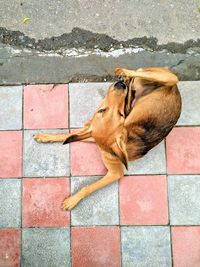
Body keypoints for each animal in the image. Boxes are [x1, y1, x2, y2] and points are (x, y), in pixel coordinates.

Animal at [34, 67, 181, 211]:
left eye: (121, 114)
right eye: (102, 110)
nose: (120, 86)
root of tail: (176, 91)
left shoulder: (116, 173)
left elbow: (89, 187)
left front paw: (73, 199)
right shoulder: (92, 136)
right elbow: (68, 135)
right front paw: (45, 137)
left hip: (169, 78)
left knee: (139, 73)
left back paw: (123, 74)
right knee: (137, 77)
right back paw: (126, 80)